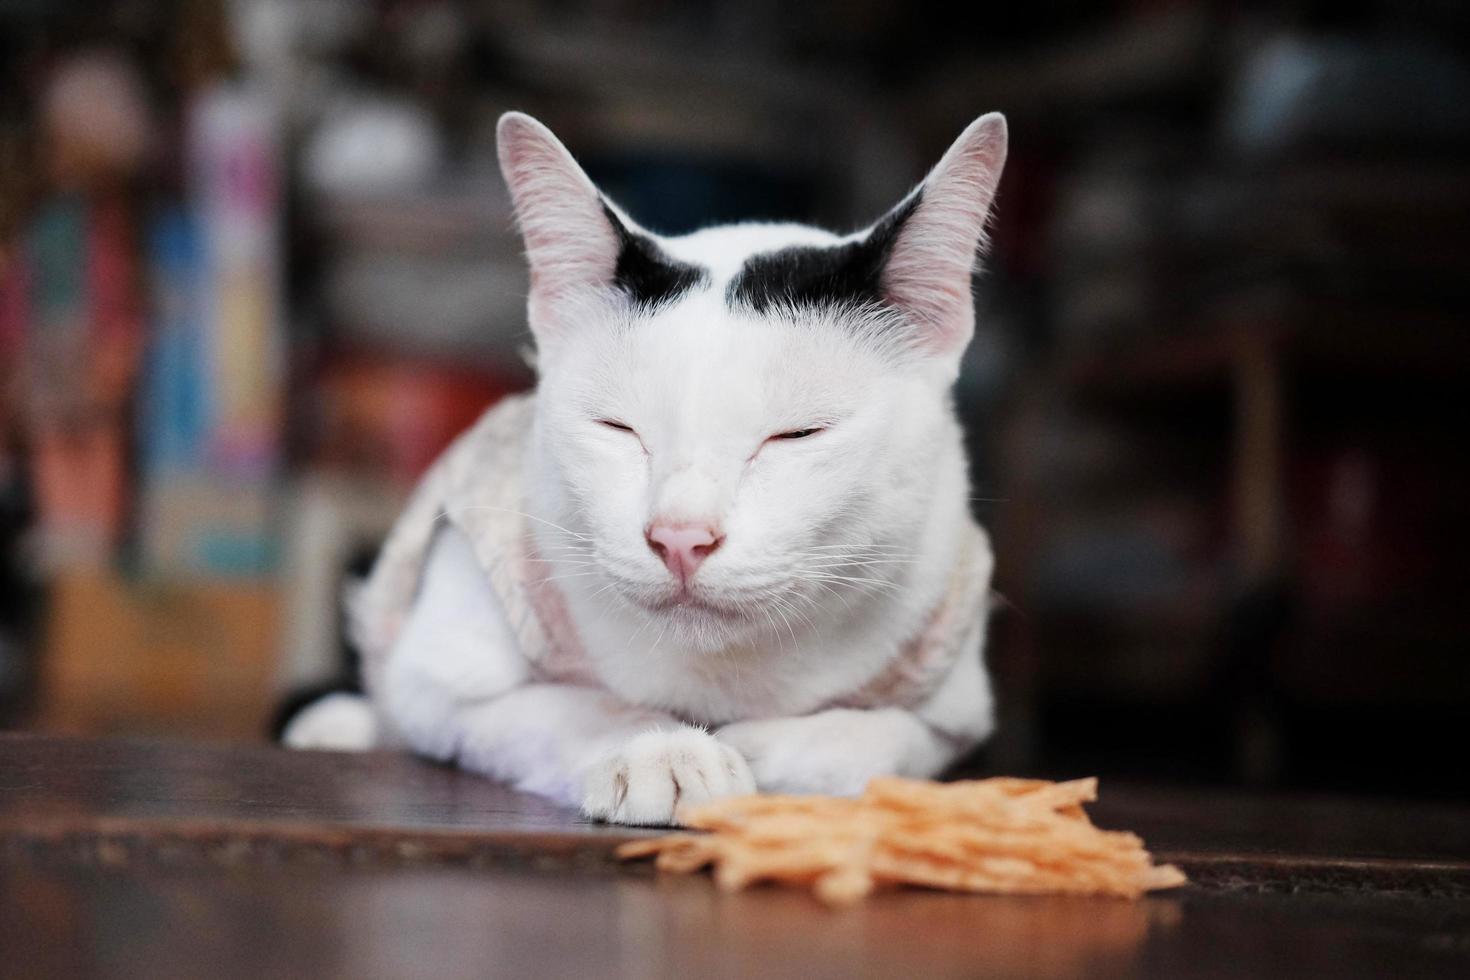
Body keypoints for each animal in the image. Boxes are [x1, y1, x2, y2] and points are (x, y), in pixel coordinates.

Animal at [280, 109, 1005, 828]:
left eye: (797, 435)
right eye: (617, 428)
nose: (680, 537)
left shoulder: (956, 711)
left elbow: (883, 742)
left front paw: (763, 748)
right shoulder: (436, 679)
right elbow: (569, 710)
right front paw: (665, 750)